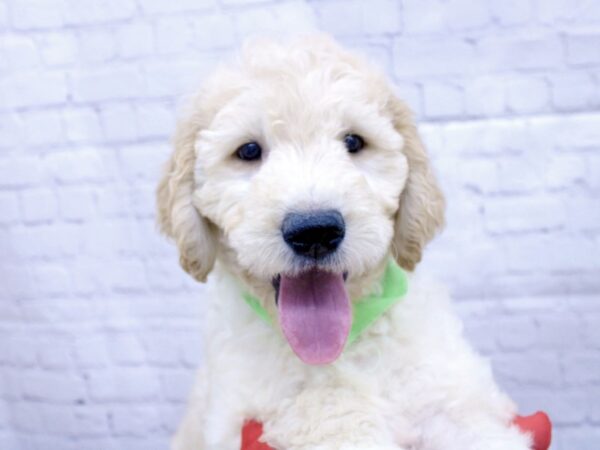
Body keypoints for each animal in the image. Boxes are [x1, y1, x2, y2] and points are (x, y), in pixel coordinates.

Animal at [157, 36, 532, 450]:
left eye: (353, 142)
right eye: (249, 151)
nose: (314, 231)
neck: (347, 344)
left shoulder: (451, 394)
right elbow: (331, 414)